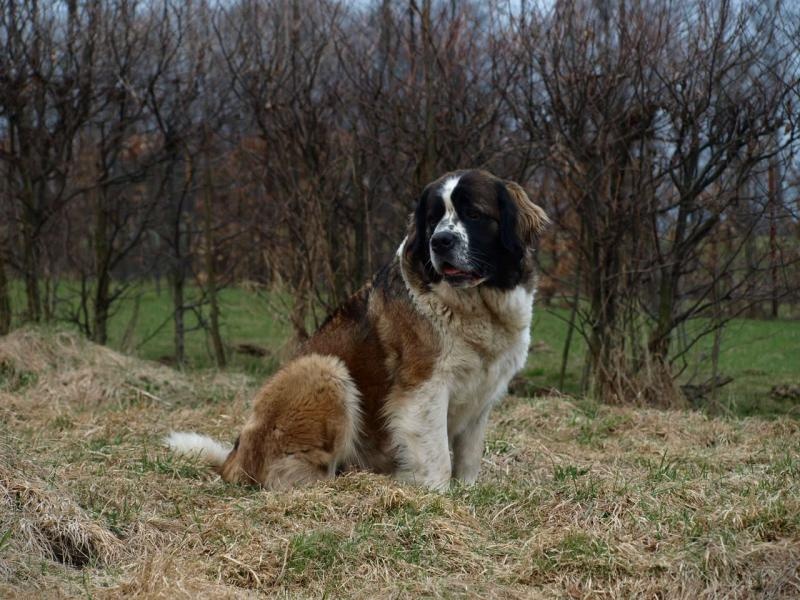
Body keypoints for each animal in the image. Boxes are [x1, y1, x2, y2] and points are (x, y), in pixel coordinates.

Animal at [166, 168, 548, 488]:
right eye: (434, 218)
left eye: (474, 214)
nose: (440, 241)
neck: (477, 306)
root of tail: (234, 456)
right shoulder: (425, 389)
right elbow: (437, 457)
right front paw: (437, 498)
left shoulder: (481, 396)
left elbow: (469, 457)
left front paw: (466, 492)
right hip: (324, 369)